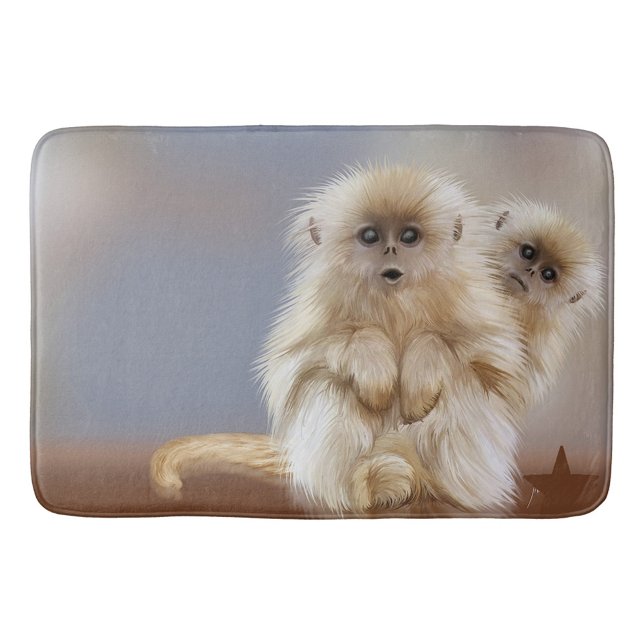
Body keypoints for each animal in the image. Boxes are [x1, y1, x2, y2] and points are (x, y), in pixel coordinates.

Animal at [151, 163, 528, 513]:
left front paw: (420, 370)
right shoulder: (318, 299)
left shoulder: (473, 296)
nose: (391, 251)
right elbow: (291, 369)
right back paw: (371, 486)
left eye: (408, 236)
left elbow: (497, 361)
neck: (394, 299)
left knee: (459, 386)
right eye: (371, 236)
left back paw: (448, 492)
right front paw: (373, 363)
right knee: (328, 385)